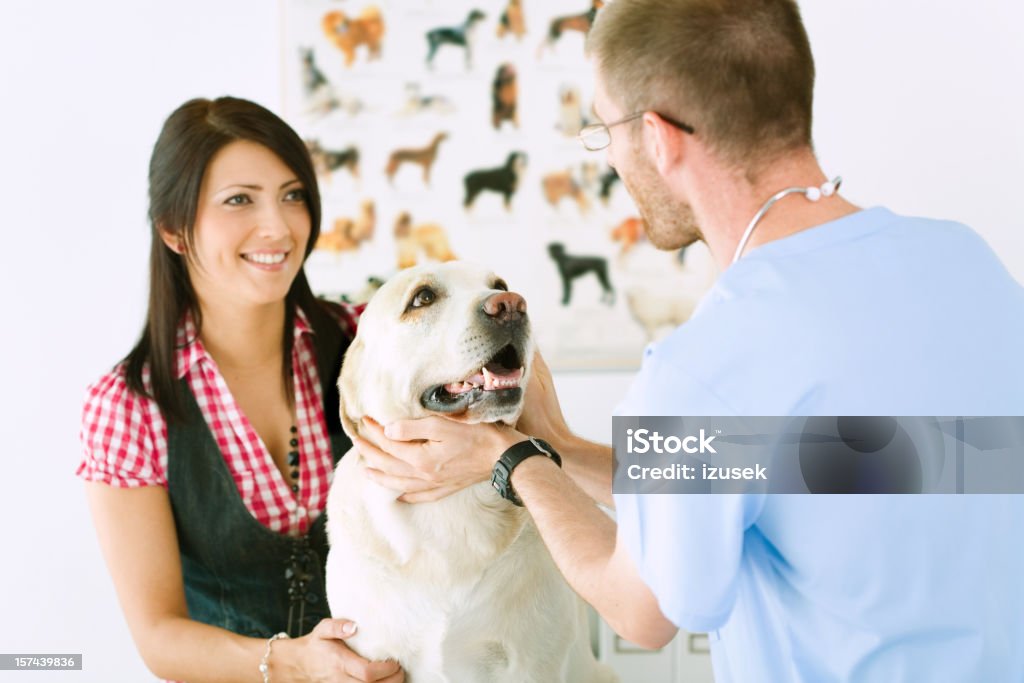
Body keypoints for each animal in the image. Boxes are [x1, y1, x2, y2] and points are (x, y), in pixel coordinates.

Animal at [327, 262, 614, 683]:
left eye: (500, 285)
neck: (452, 507)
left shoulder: (534, 664)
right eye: (423, 297)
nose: (511, 305)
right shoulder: (372, 658)